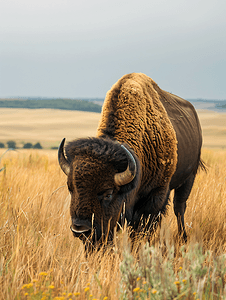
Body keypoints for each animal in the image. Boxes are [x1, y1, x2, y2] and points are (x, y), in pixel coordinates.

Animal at [58, 73, 205, 246]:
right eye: (70, 188)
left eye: (108, 193)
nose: (80, 230)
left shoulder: (156, 195)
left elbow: (142, 228)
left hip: (189, 177)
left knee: (179, 207)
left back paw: (183, 238)